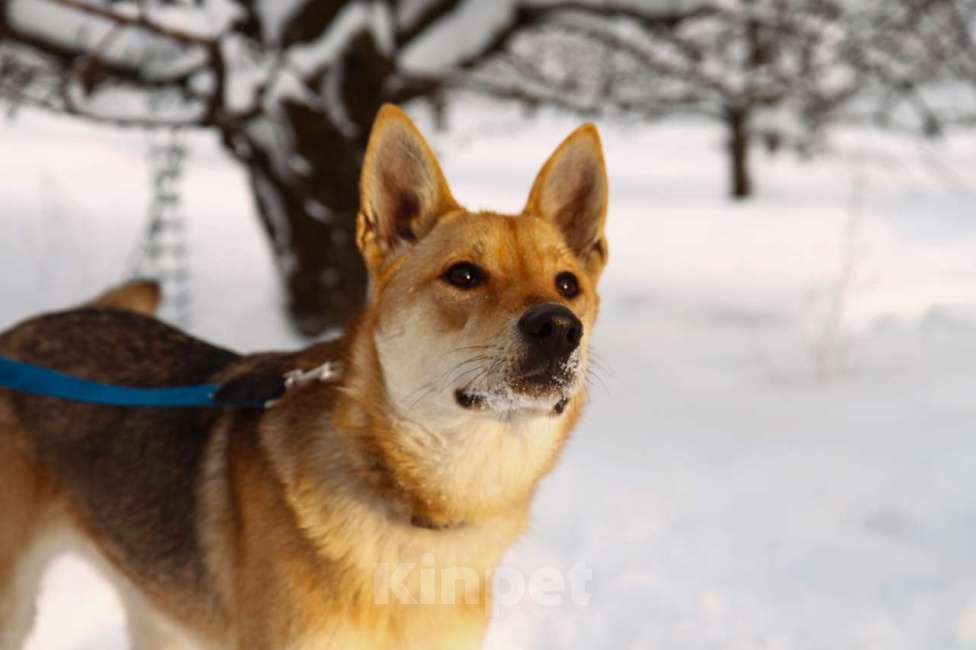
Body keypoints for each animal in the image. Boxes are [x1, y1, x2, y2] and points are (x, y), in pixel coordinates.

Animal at [0, 104, 608, 644]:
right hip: (15, 603)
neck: (427, 507)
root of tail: (18, 334)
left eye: (567, 285)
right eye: (463, 275)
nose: (559, 328)